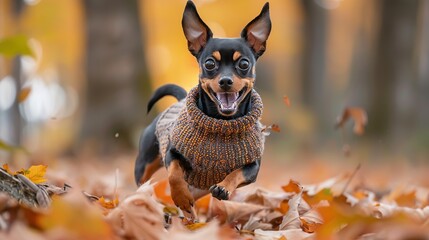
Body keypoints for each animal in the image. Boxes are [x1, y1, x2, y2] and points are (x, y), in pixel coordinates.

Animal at [134, 0, 270, 214]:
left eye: (244, 63)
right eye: (209, 63)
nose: (225, 81)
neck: (221, 124)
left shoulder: (252, 167)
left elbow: (235, 173)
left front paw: (223, 187)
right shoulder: (172, 153)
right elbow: (174, 173)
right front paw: (181, 197)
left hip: (200, 187)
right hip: (144, 163)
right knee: (142, 181)